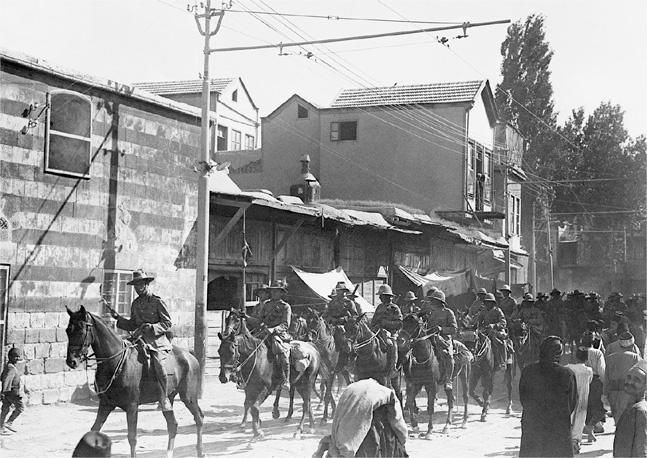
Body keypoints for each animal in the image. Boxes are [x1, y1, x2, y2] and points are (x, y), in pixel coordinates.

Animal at [64, 306, 204, 456]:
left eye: (81, 330)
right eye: (67, 330)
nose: (71, 361)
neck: (116, 361)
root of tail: (191, 357)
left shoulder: (132, 407)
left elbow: (132, 438)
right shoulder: (105, 405)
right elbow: (94, 430)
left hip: (188, 397)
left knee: (199, 418)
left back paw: (200, 451)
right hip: (168, 398)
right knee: (172, 425)